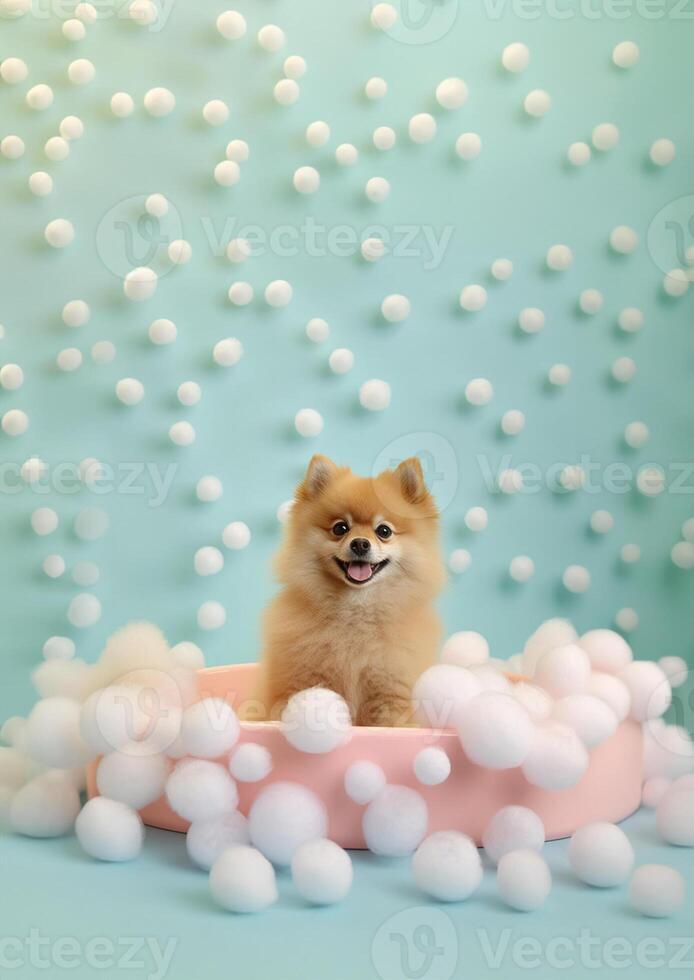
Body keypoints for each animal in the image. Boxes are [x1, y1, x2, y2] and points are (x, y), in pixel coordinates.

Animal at [260, 456, 446, 724]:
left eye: (384, 531)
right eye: (340, 528)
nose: (360, 543)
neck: (357, 608)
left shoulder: (390, 693)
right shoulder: (301, 682)